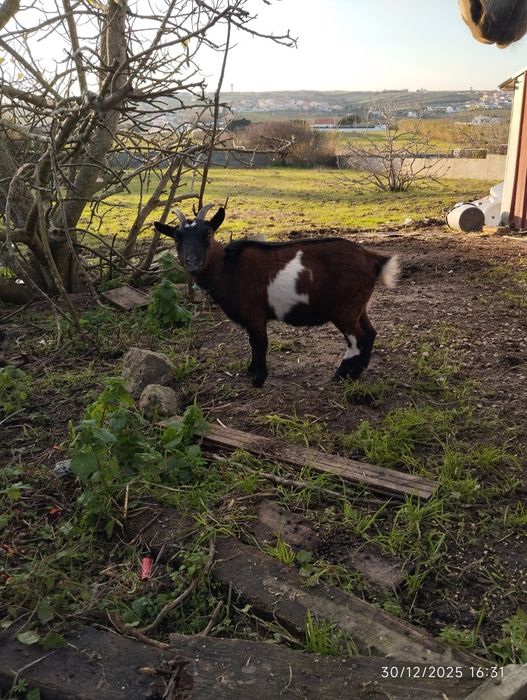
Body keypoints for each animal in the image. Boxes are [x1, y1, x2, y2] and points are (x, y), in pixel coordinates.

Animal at [154, 205, 400, 387]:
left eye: (207, 234)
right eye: (177, 239)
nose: (192, 263)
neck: (227, 268)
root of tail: (373, 259)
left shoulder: (254, 314)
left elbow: (259, 343)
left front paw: (258, 379)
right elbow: (252, 344)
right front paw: (250, 370)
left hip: (344, 310)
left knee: (357, 338)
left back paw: (341, 374)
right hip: (359, 306)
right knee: (370, 333)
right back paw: (357, 372)